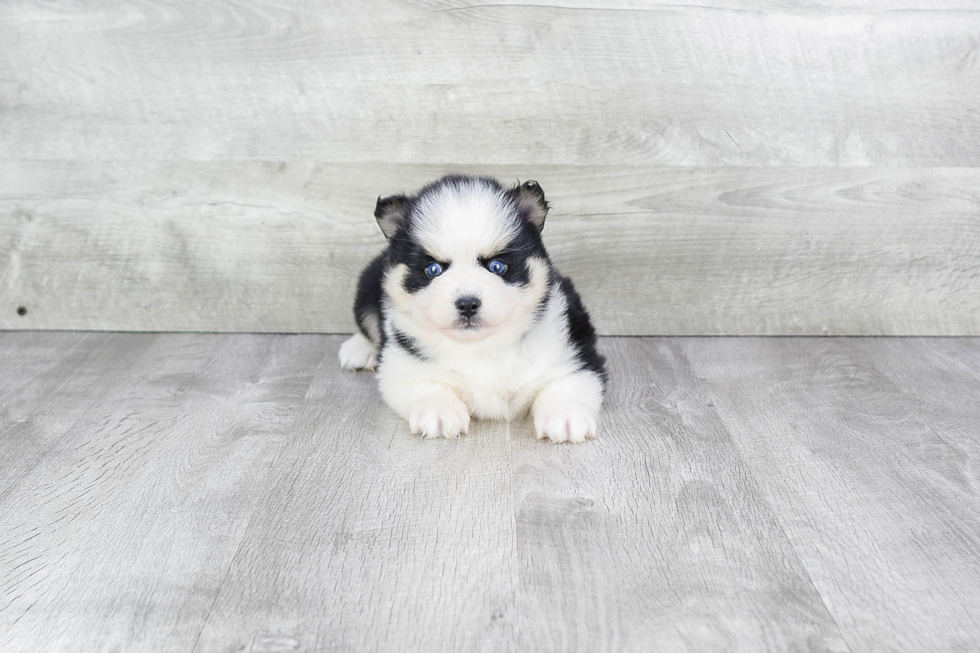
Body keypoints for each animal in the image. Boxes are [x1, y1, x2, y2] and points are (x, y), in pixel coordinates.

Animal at [340, 174, 608, 444]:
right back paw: (359, 349)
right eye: (433, 269)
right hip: (367, 286)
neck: (483, 347)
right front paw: (439, 411)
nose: (467, 304)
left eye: (497, 266)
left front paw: (566, 415)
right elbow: (426, 384)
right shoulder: (401, 366)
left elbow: (565, 382)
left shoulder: (575, 353)